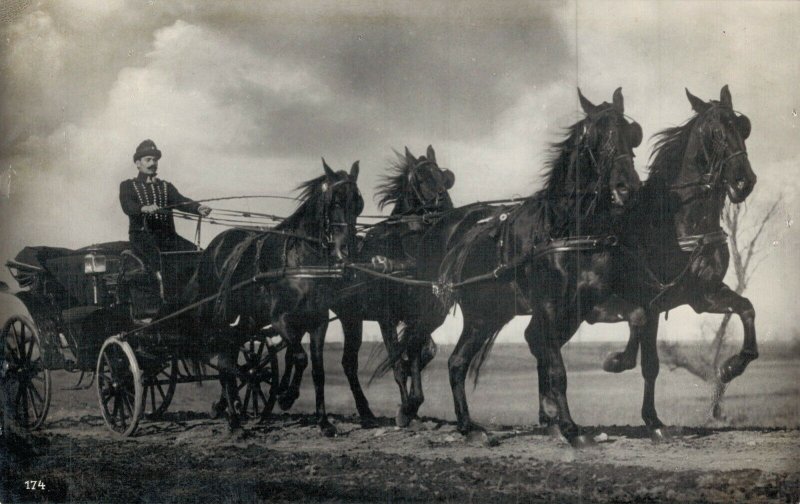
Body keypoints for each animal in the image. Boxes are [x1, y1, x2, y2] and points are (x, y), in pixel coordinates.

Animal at [184, 159, 362, 432]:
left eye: (358, 203)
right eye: (335, 201)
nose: (347, 250)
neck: (300, 263)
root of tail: (211, 249)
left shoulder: (317, 321)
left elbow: (317, 370)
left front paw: (323, 422)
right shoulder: (281, 320)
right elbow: (299, 357)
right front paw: (286, 395)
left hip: (248, 320)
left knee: (231, 357)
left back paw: (230, 404)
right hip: (222, 319)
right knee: (224, 362)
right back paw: (235, 422)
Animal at [274, 145, 456, 430]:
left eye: (444, 176)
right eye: (420, 178)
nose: (445, 207)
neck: (402, 253)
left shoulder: (418, 316)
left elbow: (421, 352)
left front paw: (412, 404)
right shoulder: (386, 318)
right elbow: (397, 362)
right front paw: (405, 409)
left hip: (350, 318)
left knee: (345, 362)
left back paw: (363, 411)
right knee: (300, 351)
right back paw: (285, 394)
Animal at [406, 86, 644, 444]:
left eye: (632, 134)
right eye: (596, 138)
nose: (627, 189)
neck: (565, 230)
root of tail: (442, 225)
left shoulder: (588, 305)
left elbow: (638, 316)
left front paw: (615, 361)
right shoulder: (547, 307)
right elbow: (557, 367)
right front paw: (570, 428)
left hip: (487, 314)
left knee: (457, 361)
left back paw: (469, 425)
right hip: (447, 307)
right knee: (422, 348)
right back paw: (424, 412)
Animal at [588, 84, 756, 440]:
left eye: (742, 126)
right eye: (715, 132)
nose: (744, 182)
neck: (678, 225)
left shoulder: (702, 296)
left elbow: (746, 308)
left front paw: (731, 366)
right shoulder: (648, 301)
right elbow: (647, 361)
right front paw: (618, 366)